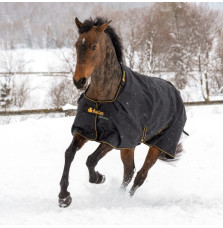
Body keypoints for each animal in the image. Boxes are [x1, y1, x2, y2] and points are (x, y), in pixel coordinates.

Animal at [58, 16, 186, 208]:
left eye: (93, 46)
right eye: (76, 45)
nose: (79, 81)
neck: (103, 99)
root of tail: (176, 92)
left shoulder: (114, 138)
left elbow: (90, 159)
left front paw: (99, 178)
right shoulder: (85, 131)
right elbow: (69, 154)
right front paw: (64, 197)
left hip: (157, 145)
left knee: (140, 175)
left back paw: (123, 200)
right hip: (129, 146)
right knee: (129, 171)